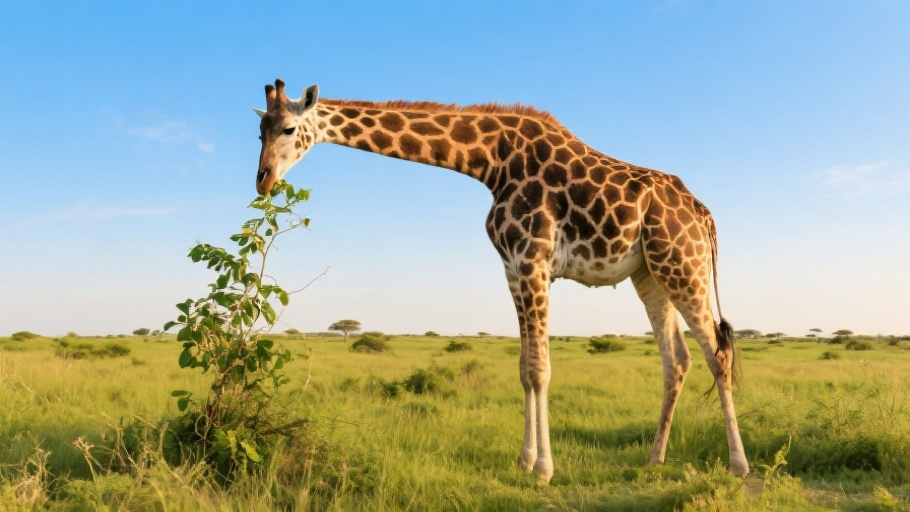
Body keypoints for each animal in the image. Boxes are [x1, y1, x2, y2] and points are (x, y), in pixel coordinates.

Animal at [254, 79, 749, 482]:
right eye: (259, 131)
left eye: (288, 130)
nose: (263, 180)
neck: (491, 162)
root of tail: (703, 214)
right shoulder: (512, 269)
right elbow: (524, 370)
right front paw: (524, 461)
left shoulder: (534, 259)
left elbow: (541, 368)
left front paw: (545, 470)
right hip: (649, 273)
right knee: (677, 360)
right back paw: (654, 460)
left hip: (683, 264)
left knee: (718, 352)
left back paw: (738, 466)